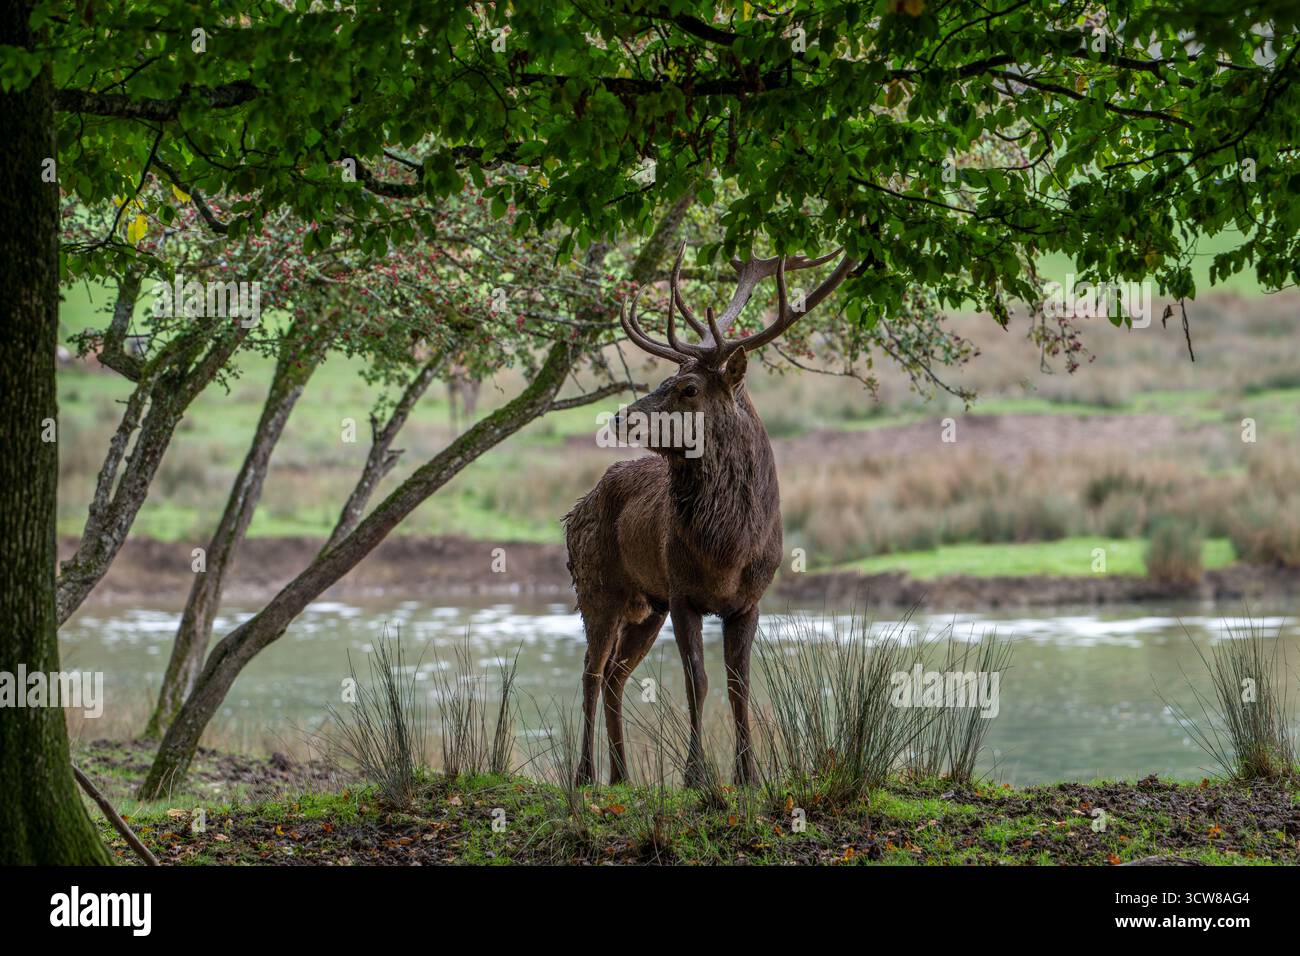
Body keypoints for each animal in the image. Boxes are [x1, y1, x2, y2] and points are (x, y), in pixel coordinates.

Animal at [564, 242, 857, 787]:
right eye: (667, 378)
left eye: (689, 388)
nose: (620, 417)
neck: (729, 548)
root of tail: (576, 508)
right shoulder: (683, 594)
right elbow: (696, 681)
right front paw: (696, 775)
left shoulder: (748, 601)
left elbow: (739, 685)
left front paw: (748, 775)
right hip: (598, 586)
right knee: (592, 671)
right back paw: (585, 775)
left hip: (647, 605)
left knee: (614, 674)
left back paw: (622, 775)